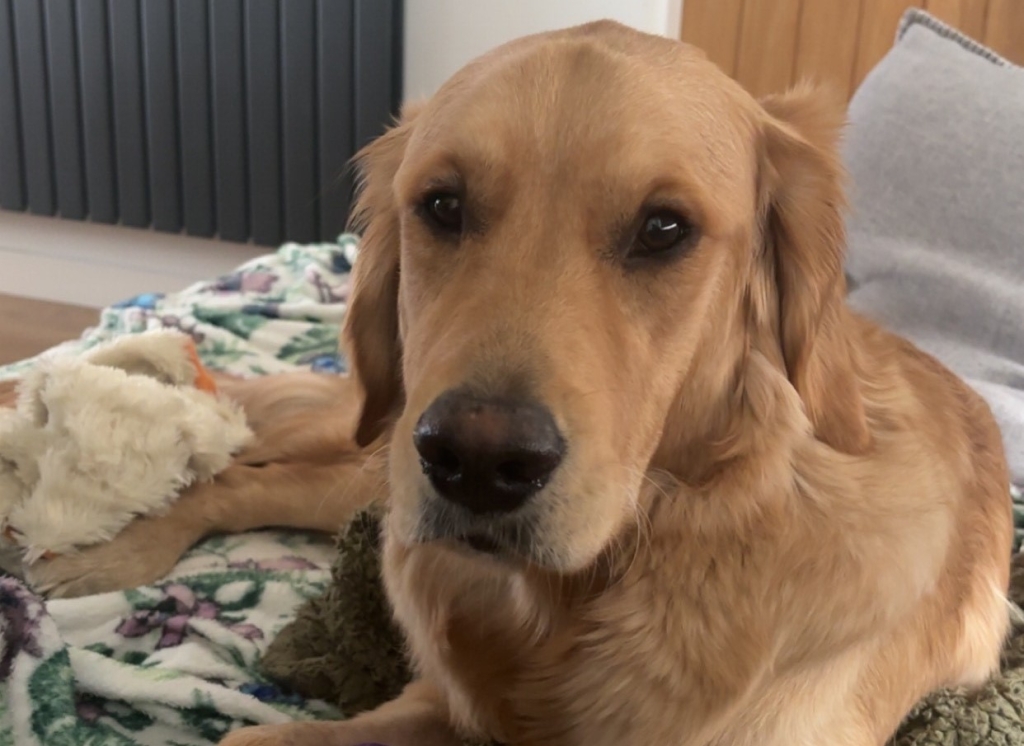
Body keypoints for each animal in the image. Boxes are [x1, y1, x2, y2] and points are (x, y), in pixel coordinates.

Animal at [6, 21, 1015, 744]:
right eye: (442, 205)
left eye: (665, 228)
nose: (478, 461)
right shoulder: (433, 706)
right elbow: (253, 740)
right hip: (370, 464)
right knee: (236, 475)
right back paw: (109, 543)